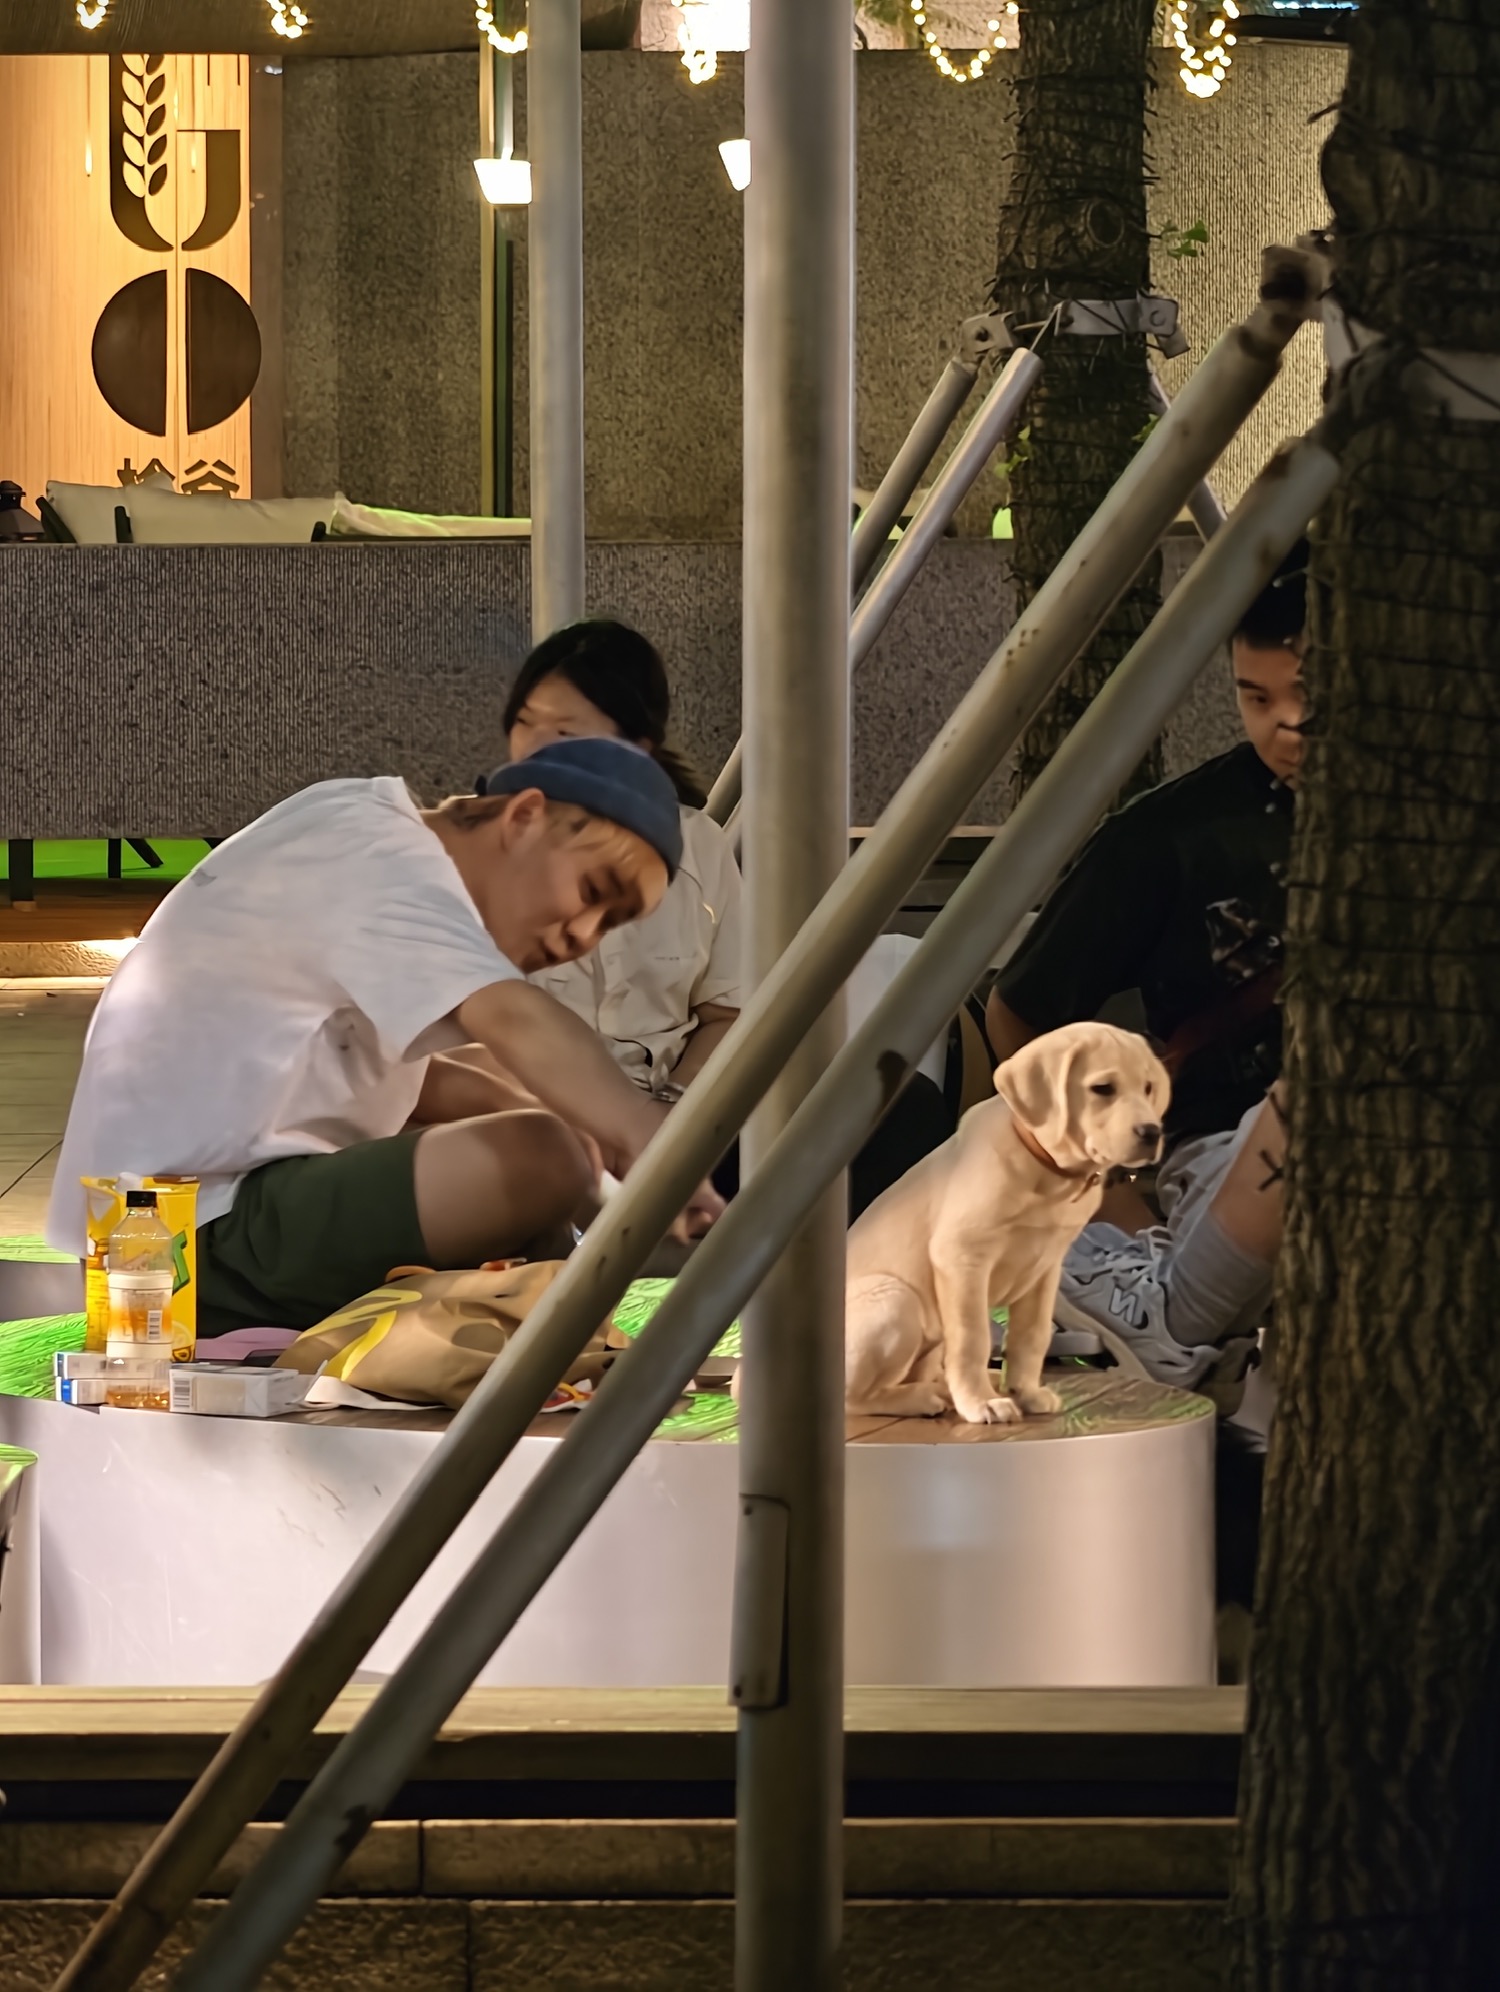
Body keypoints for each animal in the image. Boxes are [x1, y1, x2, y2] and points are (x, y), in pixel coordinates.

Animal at [844, 1021, 1170, 1425]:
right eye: (1103, 1089)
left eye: (1148, 1087)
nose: (1152, 1132)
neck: (1049, 1175)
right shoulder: (961, 1257)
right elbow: (973, 1340)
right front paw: (980, 1402)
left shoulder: (1045, 1269)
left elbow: (1031, 1337)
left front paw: (1024, 1392)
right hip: (896, 1298)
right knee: (851, 1400)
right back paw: (920, 1398)